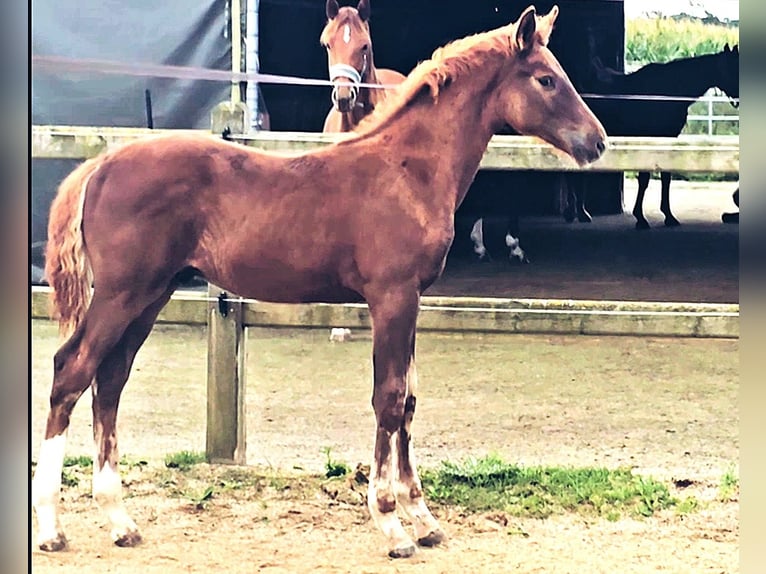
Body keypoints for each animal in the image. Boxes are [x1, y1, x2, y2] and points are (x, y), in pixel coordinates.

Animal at [564, 45, 739, 229]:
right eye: (734, 67)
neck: (667, 92)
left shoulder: (668, 139)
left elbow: (666, 178)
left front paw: (669, 216)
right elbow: (644, 179)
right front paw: (641, 218)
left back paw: (580, 213)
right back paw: (574, 213)